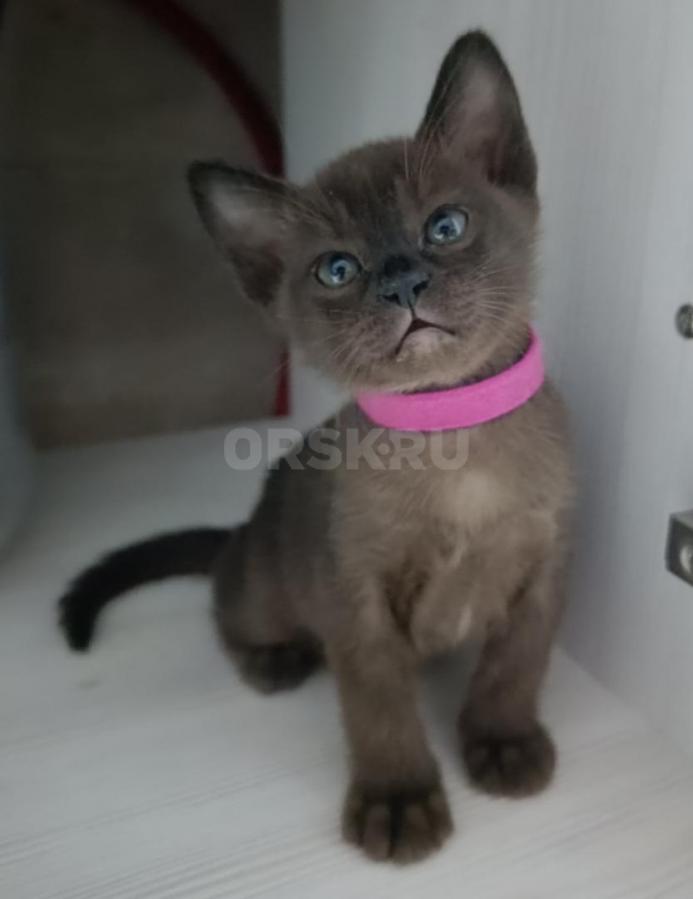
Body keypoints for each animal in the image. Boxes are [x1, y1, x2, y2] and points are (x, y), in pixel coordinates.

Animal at [58, 31, 574, 864]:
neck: (452, 436)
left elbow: (513, 668)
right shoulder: (358, 605)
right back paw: (273, 659)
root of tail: (245, 525)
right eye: (337, 270)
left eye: (444, 227)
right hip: (269, 589)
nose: (401, 282)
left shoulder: (542, 572)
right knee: (225, 598)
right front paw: (397, 802)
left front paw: (502, 744)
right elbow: (381, 711)